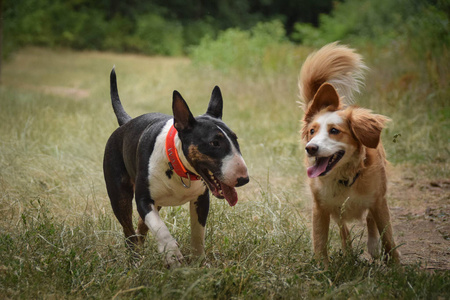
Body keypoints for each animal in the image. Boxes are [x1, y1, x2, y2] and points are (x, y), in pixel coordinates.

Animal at [103, 68, 248, 268]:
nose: (244, 179)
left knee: (140, 228)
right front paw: (172, 254)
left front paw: (198, 262)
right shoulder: (143, 200)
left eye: (235, 138)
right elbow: (160, 228)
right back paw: (135, 261)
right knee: (129, 232)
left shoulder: (201, 200)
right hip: (120, 197)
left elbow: (198, 233)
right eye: (214, 143)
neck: (179, 167)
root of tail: (126, 123)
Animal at [298, 42, 400, 268]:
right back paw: (349, 253)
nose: (311, 148)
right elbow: (320, 240)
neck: (345, 176)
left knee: (370, 221)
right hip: (336, 210)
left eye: (335, 131)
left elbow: (388, 236)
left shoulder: (379, 200)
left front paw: (397, 266)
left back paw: (373, 246)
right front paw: (323, 268)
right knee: (343, 229)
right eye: (312, 131)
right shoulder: (321, 207)